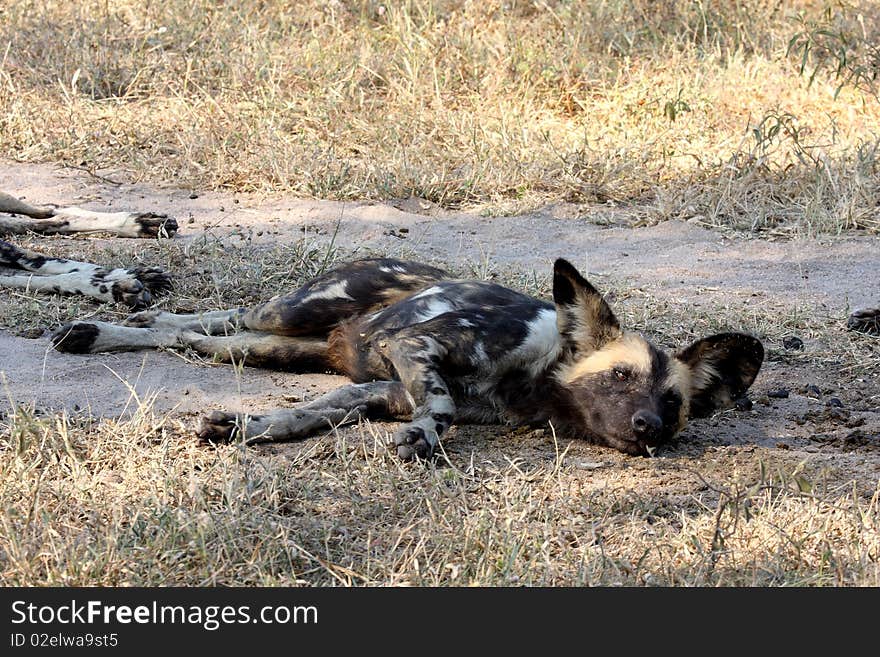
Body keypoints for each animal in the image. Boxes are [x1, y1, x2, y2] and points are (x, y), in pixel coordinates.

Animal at [0, 191, 179, 308]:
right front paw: (113, 287)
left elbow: (50, 264)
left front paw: (121, 276)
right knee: (46, 219)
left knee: (51, 211)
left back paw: (142, 223)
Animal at [49, 256, 764, 456]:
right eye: (618, 375)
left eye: (673, 405)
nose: (649, 429)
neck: (535, 380)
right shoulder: (415, 349)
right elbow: (440, 407)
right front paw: (422, 439)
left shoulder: (377, 390)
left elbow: (302, 416)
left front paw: (245, 428)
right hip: (287, 314)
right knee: (202, 318)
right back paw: (107, 324)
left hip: (278, 349)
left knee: (201, 338)